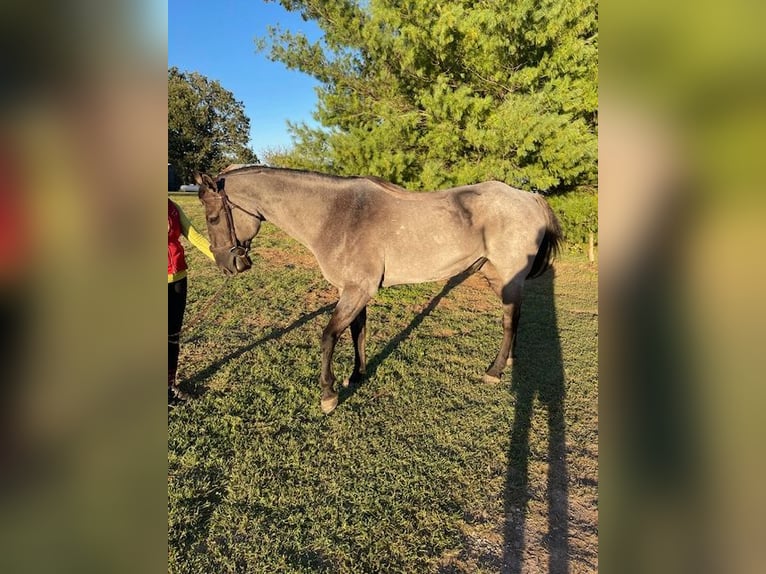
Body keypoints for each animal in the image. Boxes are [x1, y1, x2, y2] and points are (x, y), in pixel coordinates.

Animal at [194, 166, 561, 414]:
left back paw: (494, 371)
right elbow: (358, 331)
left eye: (212, 218)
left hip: (509, 275)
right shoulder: (355, 290)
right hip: (495, 274)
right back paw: (508, 360)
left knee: (508, 321)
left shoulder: (357, 290)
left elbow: (329, 336)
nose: (226, 265)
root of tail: (530, 197)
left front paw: (328, 394)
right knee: (514, 318)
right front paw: (356, 376)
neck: (336, 215)